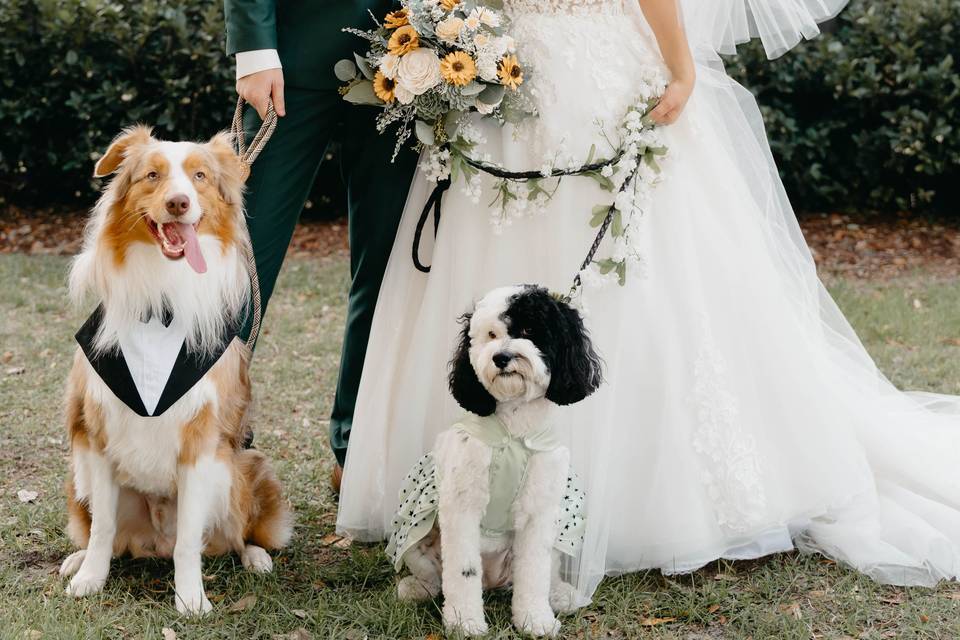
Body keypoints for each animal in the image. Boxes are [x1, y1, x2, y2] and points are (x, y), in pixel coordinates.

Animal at [59, 126, 290, 616]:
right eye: (152, 175)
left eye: (199, 176)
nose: (179, 203)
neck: (159, 306)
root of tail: (154, 544)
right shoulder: (98, 433)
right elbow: (103, 528)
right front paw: (91, 578)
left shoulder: (201, 445)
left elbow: (188, 541)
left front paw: (191, 599)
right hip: (78, 479)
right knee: (101, 532)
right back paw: (77, 559)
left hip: (241, 469)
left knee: (236, 534)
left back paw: (255, 557)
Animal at [390, 288, 600, 636]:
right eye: (490, 335)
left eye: (529, 330)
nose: (501, 357)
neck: (514, 430)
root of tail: (492, 581)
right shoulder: (461, 506)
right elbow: (462, 572)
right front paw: (464, 622)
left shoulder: (539, 513)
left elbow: (534, 571)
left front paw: (535, 620)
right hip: (415, 541)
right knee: (435, 576)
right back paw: (415, 589)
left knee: (546, 571)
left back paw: (560, 595)